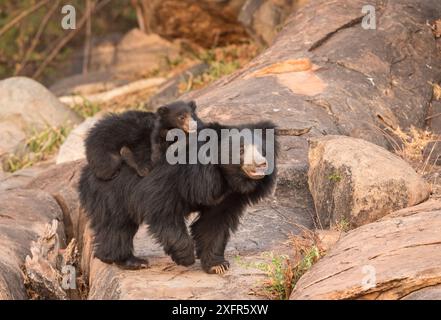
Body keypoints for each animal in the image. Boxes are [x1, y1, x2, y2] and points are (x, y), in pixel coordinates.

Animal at [77, 114, 274, 272]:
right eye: (241, 150)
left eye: (262, 150)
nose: (262, 164)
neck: (224, 177)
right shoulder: (173, 178)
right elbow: (162, 210)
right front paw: (186, 257)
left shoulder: (229, 196)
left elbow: (215, 222)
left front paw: (217, 265)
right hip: (112, 191)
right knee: (117, 225)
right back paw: (130, 261)